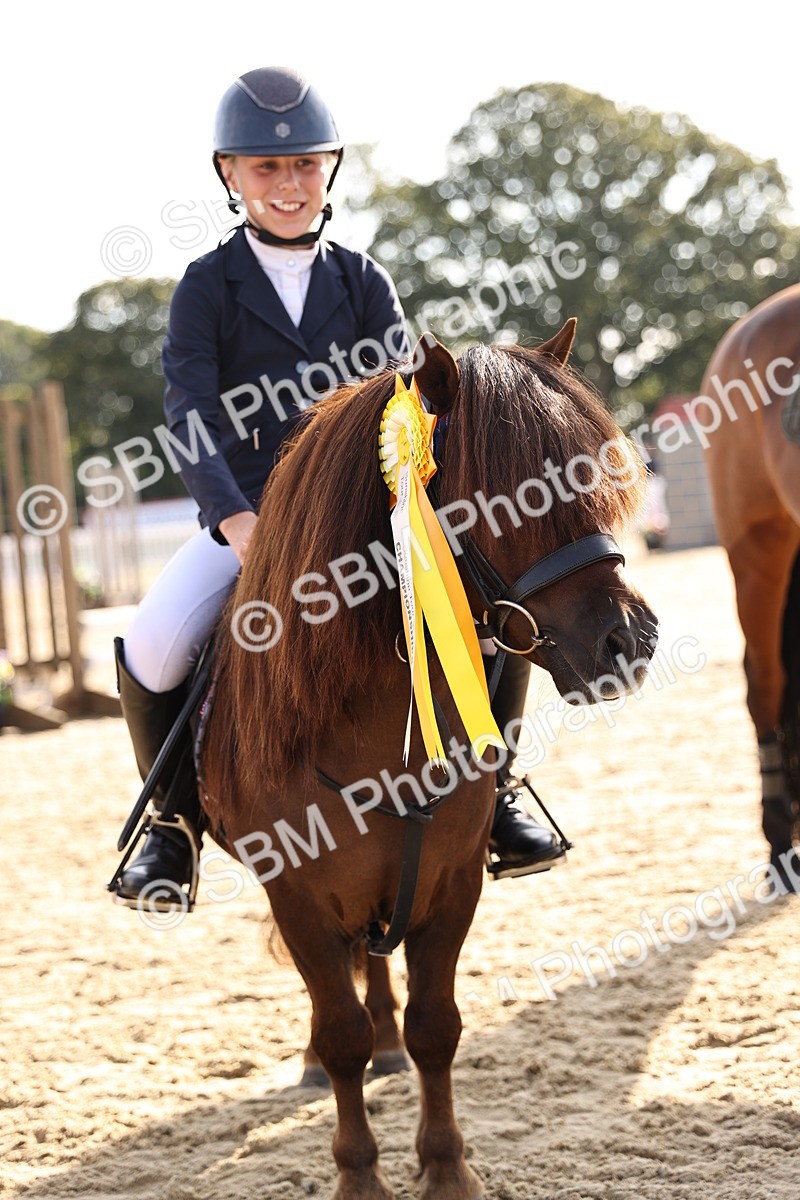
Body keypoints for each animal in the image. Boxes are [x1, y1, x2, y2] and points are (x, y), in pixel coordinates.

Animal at [199, 323, 658, 1200]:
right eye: (514, 493)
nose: (632, 641)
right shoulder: (297, 898)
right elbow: (338, 1032)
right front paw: (359, 1176)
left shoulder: (451, 882)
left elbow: (435, 1027)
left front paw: (446, 1169)